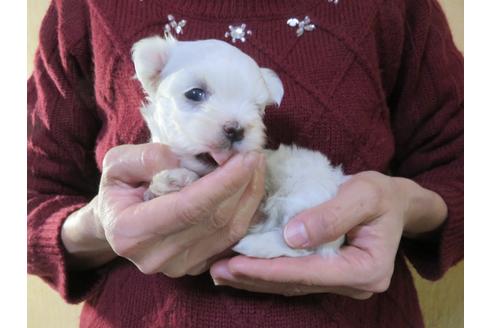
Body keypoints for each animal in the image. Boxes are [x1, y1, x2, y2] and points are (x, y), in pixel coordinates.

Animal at [132, 34, 346, 258]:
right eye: (195, 94)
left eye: (257, 107)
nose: (236, 130)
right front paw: (165, 184)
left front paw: (175, 179)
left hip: (306, 196)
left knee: (299, 242)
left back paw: (253, 244)